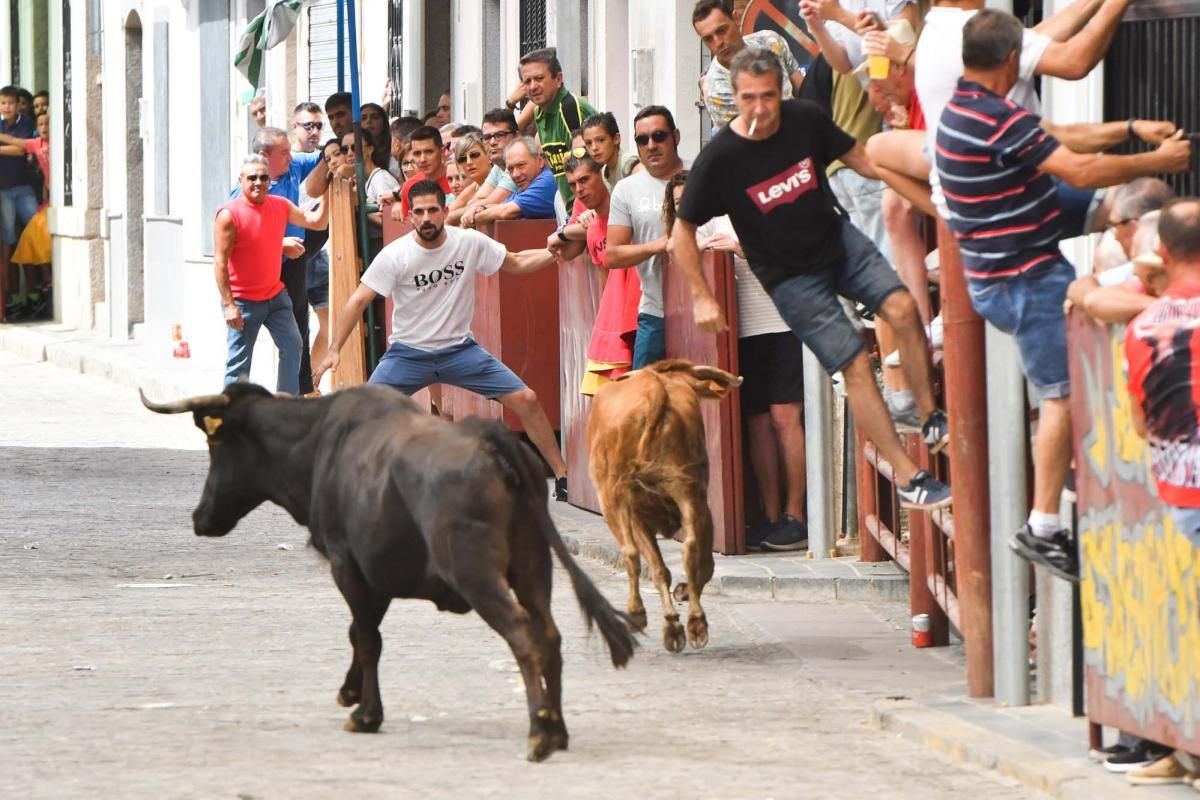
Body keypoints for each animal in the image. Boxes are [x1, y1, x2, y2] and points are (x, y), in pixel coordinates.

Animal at [141, 383, 638, 762]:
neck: (319, 444)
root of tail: (492, 440)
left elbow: (367, 639)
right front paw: (350, 692)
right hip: (534, 565)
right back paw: (558, 730)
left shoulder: (346, 563)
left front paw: (365, 713)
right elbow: (359, 633)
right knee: (549, 634)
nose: (199, 517)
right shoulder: (376, 570)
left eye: (214, 444)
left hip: (475, 572)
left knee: (522, 633)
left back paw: (538, 733)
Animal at [588, 359, 744, 652]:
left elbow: (656, 566)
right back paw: (694, 624)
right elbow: (684, 566)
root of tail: (654, 387)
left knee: (633, 554)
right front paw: (678, 609)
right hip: (690, 491)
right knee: (691, 550)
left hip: (618, 497)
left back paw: (641, 614)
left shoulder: (632, 514)